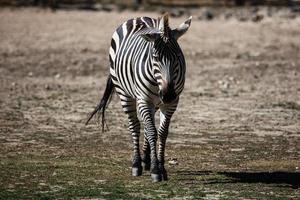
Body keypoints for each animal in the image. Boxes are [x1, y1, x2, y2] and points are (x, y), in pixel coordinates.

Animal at [85, 12, 191, 181]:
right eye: (155, 57)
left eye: (178, 56)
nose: (167, 94)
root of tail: (139, 17)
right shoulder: (145, 99)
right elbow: (152, 131)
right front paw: (155, 170)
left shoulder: (172, 103)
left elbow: (162, 133)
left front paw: (161, 167)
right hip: (126, 95)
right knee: (135, 125)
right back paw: (137, 164)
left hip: (153, 103)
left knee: (146, 127)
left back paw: (146, 160)